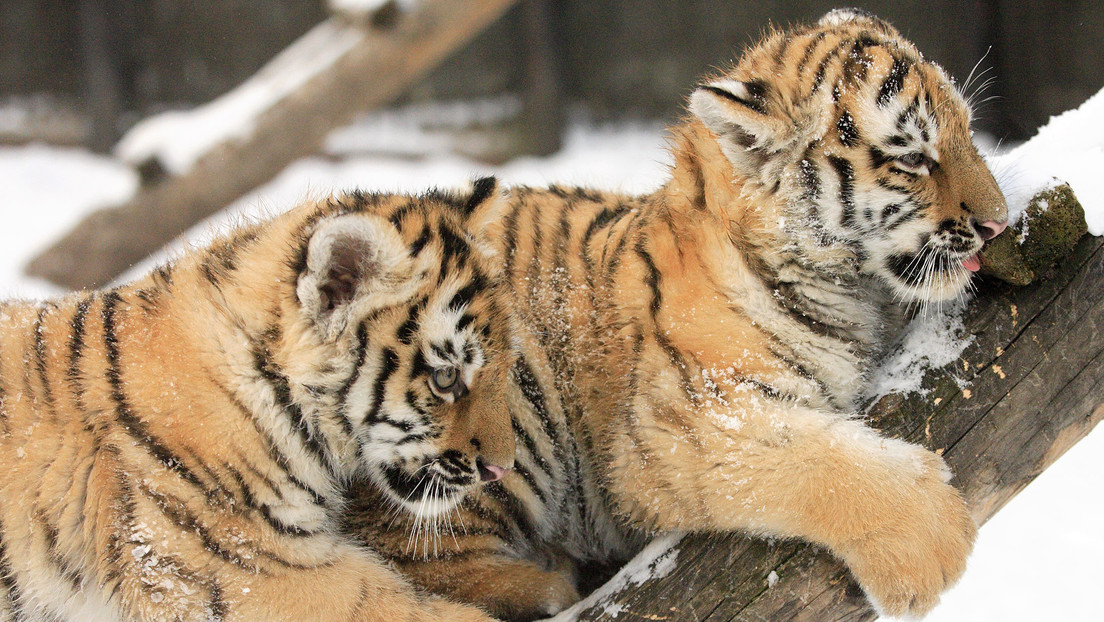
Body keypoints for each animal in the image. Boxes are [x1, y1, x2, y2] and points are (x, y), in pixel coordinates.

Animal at [344, 8, 1008, 620]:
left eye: (970, 129)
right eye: (914, 158)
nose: (999, 223)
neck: (853, 289)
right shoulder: (686, 424)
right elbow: (819, 461)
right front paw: (932, 547)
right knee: (423, 557)